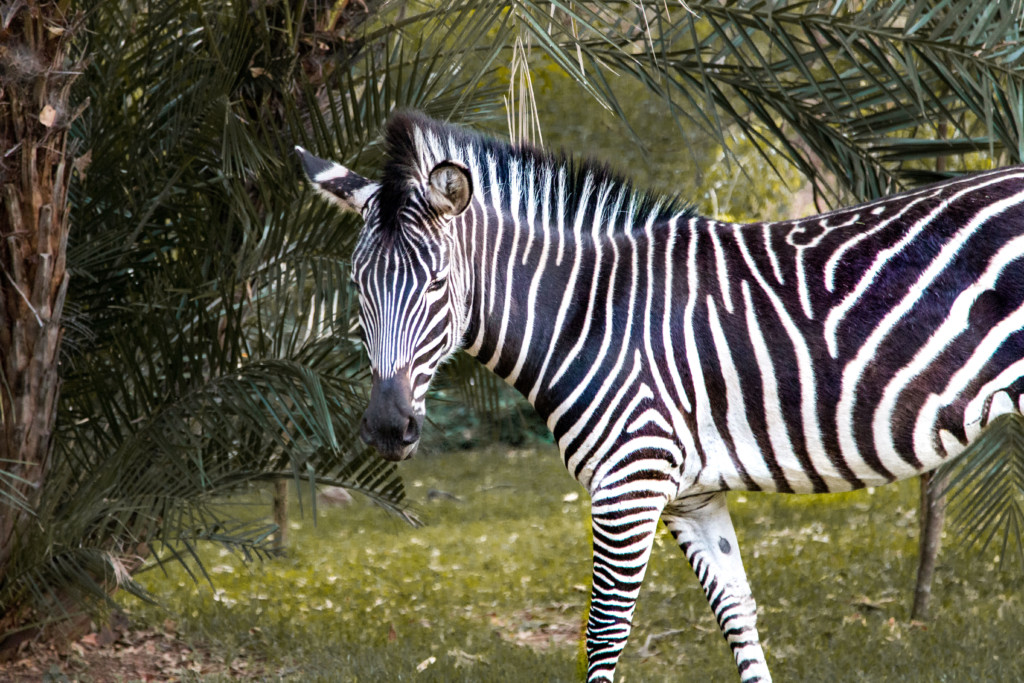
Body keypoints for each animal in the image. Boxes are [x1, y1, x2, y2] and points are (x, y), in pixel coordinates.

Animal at [294, 109, 1024, 679]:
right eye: (356, 286)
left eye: (437, 285)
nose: (388, 427)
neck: (592, 314)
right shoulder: (691, 496)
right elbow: (738, 616)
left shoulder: (629, 485)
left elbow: (602, 637)